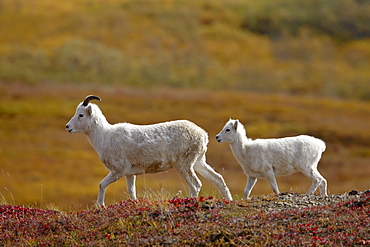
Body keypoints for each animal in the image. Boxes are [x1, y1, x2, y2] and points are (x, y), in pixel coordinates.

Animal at [65, 95, 233, 206]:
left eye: (81, 115)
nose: (68, 127)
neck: (105, 136)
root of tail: (203, 135)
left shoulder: (118, 171)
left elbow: (101, 185)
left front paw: (101, 206)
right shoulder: (129, 174)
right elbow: (131, 192)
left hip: (184, 165)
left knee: (195, 185)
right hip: (198, 163)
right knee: (218, 179)